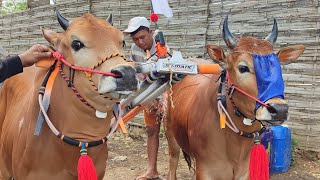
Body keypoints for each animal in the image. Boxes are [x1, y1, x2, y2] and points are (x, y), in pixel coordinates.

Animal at [165, 17, 304, 180]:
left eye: (278, 68)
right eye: (243, 67)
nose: (280, 109)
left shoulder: (244, 172)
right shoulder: (205, 170)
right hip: (170, 134)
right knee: (172, 163)